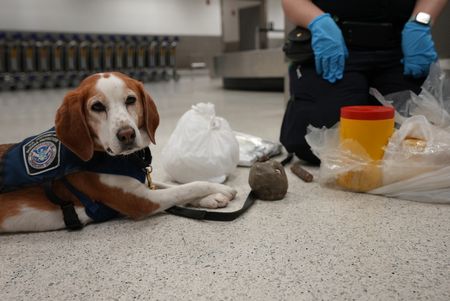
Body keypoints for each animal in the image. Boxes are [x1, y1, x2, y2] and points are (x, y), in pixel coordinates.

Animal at [0, 72, 237, 232]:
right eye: (96, 107)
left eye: (130, 100)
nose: (127, 135)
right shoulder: (142, 201)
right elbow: (189, 187)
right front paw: (220, 189)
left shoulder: (143, 186)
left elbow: (172, 186)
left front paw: (210, 198)